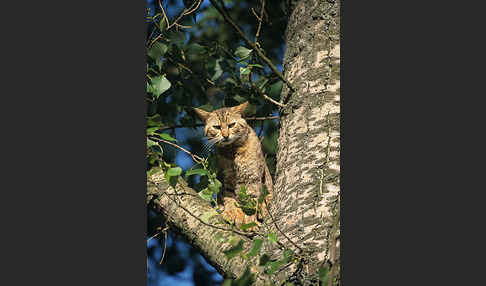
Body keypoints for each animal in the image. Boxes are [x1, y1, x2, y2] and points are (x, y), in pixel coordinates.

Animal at [195, 101, 274, 229]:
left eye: (231, 125)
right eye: (217, 127)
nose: (225, 135)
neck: (232, 151)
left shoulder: (252, 178)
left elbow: (251, 202)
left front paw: (249, 221)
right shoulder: (227, 179)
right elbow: (230, 197)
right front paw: (230, 212)